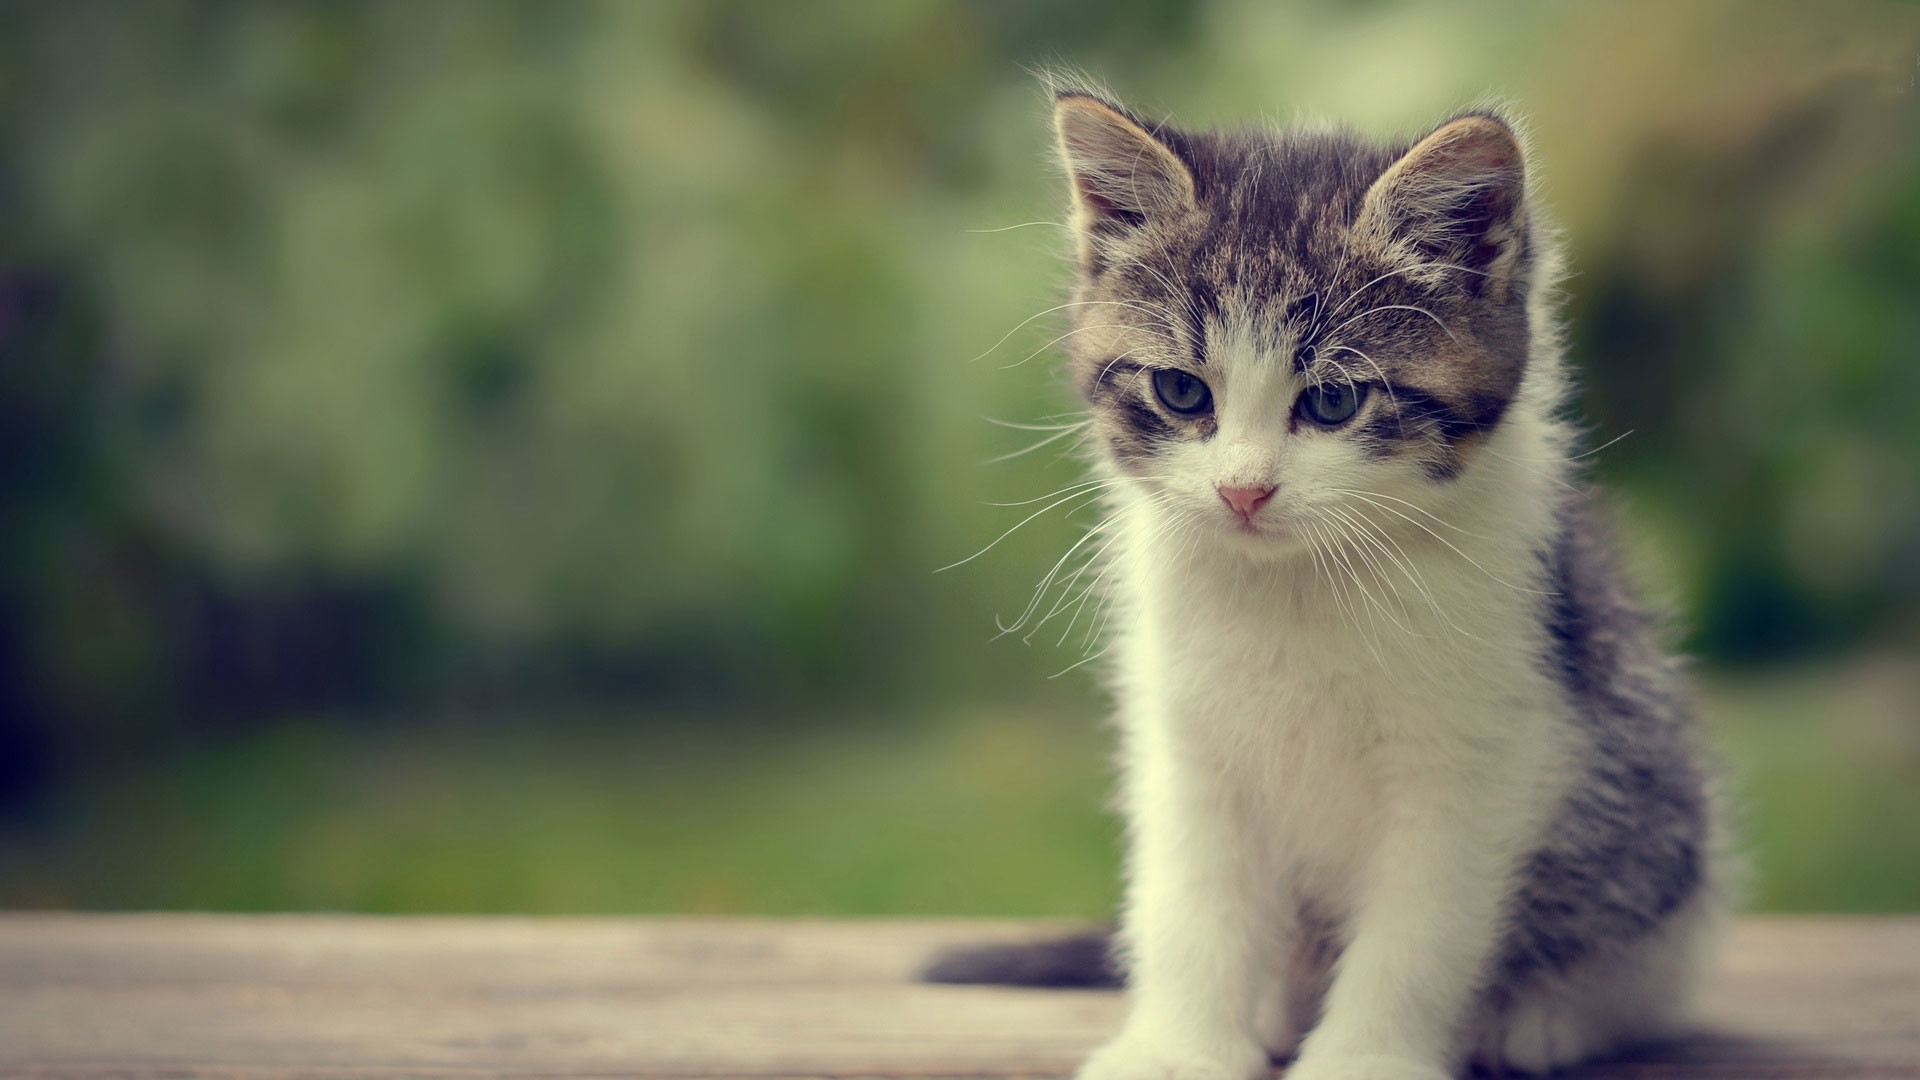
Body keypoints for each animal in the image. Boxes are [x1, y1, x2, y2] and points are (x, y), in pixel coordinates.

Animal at [925, 84, 1728, 1076]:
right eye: (1182, 393)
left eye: (1335, 401)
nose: (1242, 490)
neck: (1300, 586)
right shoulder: (1186, 737)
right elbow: (1189, 901)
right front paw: (1178, 1046)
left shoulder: (1486, 751)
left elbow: (1420, 930)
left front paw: (1367, 1056)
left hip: (1654, 811)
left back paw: (1544, 1016)